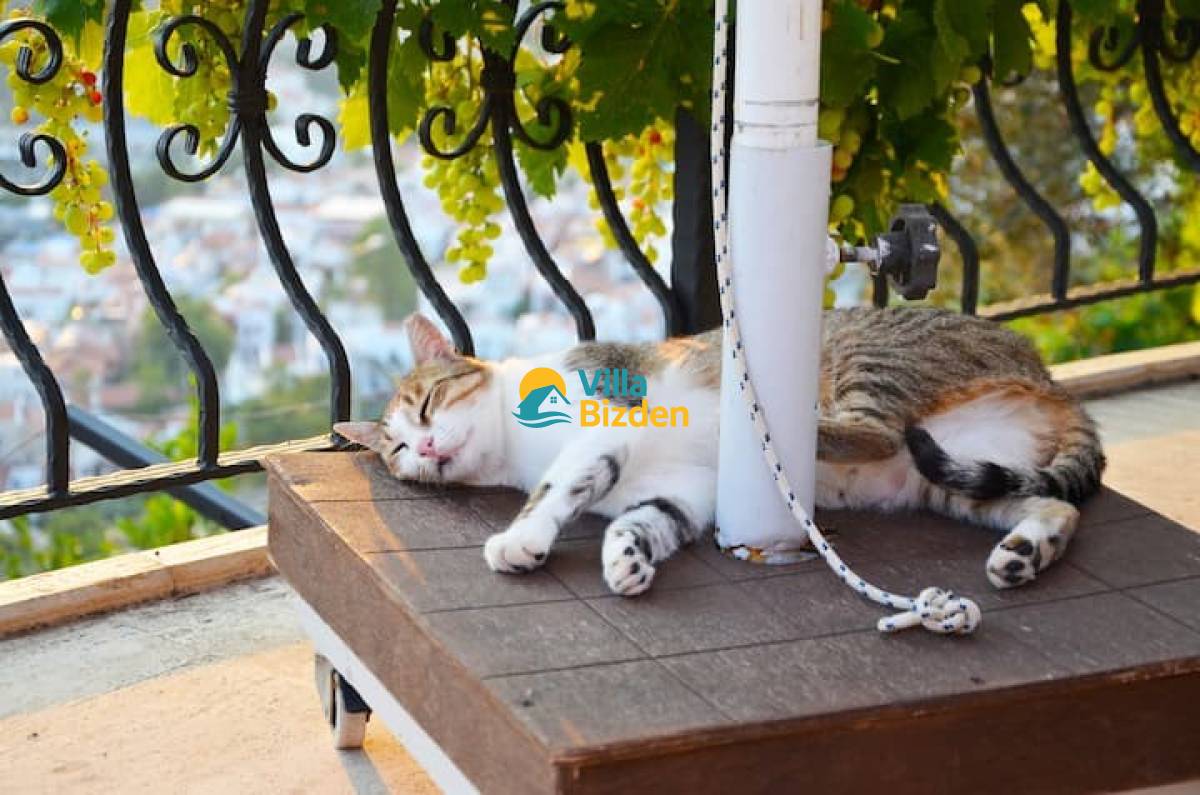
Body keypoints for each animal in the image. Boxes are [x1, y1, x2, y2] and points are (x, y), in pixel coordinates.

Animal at [335, 309, 1104, 596]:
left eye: (427, 404)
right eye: (397, 448)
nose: (423, 445)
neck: (515, 447)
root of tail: (1049, 378)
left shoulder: (606, 422)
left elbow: (558, 487)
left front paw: (520, 540)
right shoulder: (685, 487)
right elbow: (643, 517)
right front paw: (627, 558)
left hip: (867, 357)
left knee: (875, 428)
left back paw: (764, 414)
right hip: (955, 477)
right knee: (1053, 505)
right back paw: (1023, 553)